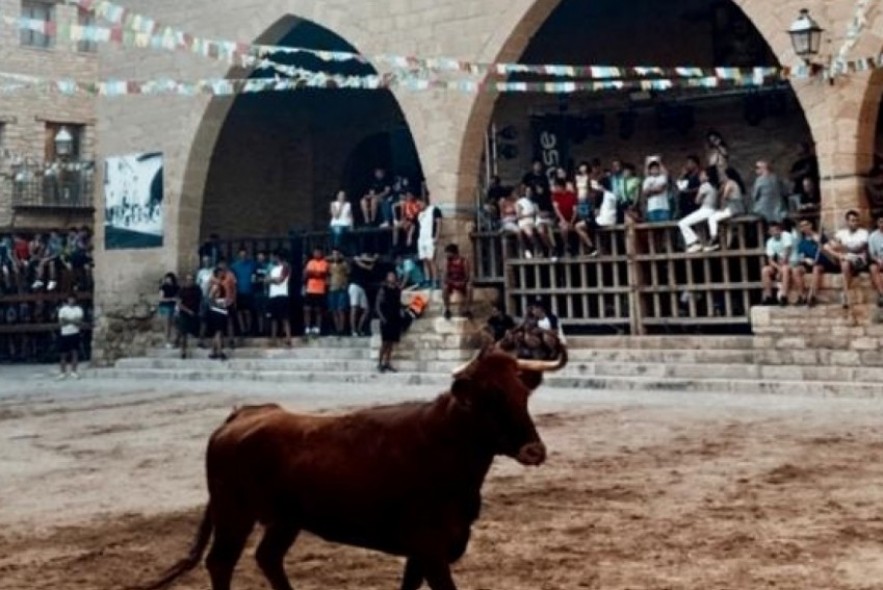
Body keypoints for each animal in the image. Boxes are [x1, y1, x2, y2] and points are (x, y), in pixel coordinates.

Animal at [138, 346, 568, 590]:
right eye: (488, 399)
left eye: (522, 394)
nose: (534, 450)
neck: (444, 445)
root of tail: (241, 415)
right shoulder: (430, 549)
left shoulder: (422, 552)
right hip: (233, 514)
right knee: (221, 563)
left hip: (284, 519)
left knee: (268, 557)